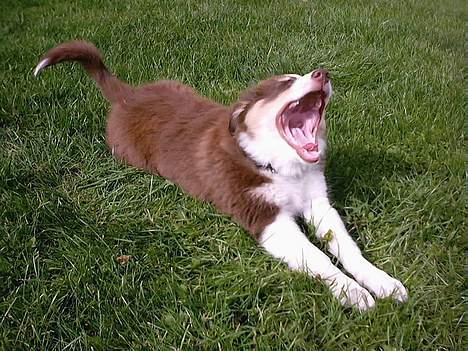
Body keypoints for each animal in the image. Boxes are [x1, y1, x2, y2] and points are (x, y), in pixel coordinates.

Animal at [33, 40, 406, 310]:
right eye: (285, 82)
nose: (323, 73)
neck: (275, 165)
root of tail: (130, 95)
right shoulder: (267, 219)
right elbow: (319, 258)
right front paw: (352, 294)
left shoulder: (318, 202)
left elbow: (347, 247)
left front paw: (383, 283)